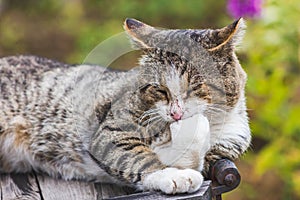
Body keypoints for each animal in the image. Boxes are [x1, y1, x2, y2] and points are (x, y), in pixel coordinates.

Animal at [0, 18, 251, 194]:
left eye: (195, 87)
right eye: (159, 89)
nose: (175, 113)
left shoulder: (227, 143)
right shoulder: (110, 130)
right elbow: (138, 156)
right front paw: (174, 175)